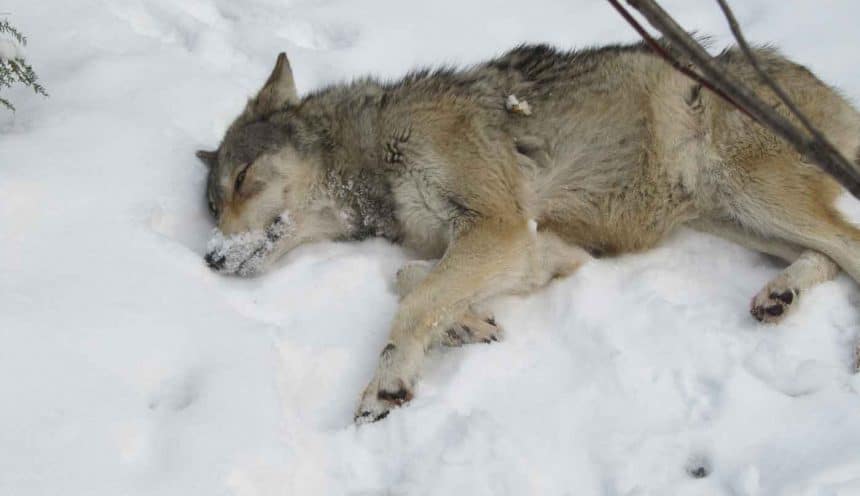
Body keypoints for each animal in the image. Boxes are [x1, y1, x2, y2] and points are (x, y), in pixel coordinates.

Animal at [197, 43, 860, 423]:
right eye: (212, 204)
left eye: (243, 180)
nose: (209, 259)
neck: (376, 155)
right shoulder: (536, 242)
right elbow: (415, 279)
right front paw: (470, 324)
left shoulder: (499, 226)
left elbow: (415, 299)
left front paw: (388, 381)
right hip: (735, 217)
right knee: (828, 252)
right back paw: (780, 294)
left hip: (752, 191)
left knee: (848, 243)